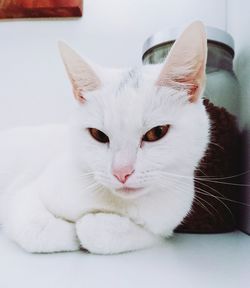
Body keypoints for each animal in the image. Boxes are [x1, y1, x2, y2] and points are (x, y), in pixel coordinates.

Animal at [0, 21, 211, 253]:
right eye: (98, 135)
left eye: (156, 133)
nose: (121, 172)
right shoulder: (24, 195)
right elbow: (36, 228)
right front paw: (71, 231)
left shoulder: (161, 229)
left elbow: (102, 233)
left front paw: (92, 225)